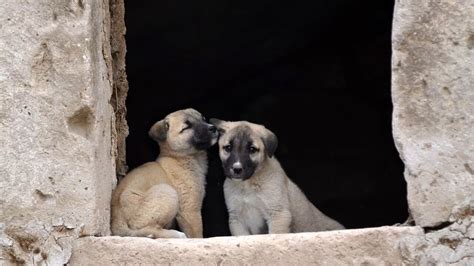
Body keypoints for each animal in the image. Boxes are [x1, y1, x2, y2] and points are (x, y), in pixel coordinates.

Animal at [112, 108, 219, 239]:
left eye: (202, 118)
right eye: (186, 127)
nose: (213, 128)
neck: (181, 158)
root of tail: (116, 220)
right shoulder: (190, 210)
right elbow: (196, 235)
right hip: (167, 191)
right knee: (149, 229)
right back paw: (175, 234)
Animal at [211, 119, 344, 235]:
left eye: (252, 149)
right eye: (228, 148)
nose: (237, 169)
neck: (247, 186)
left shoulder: (278, 214)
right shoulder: (237, 219)